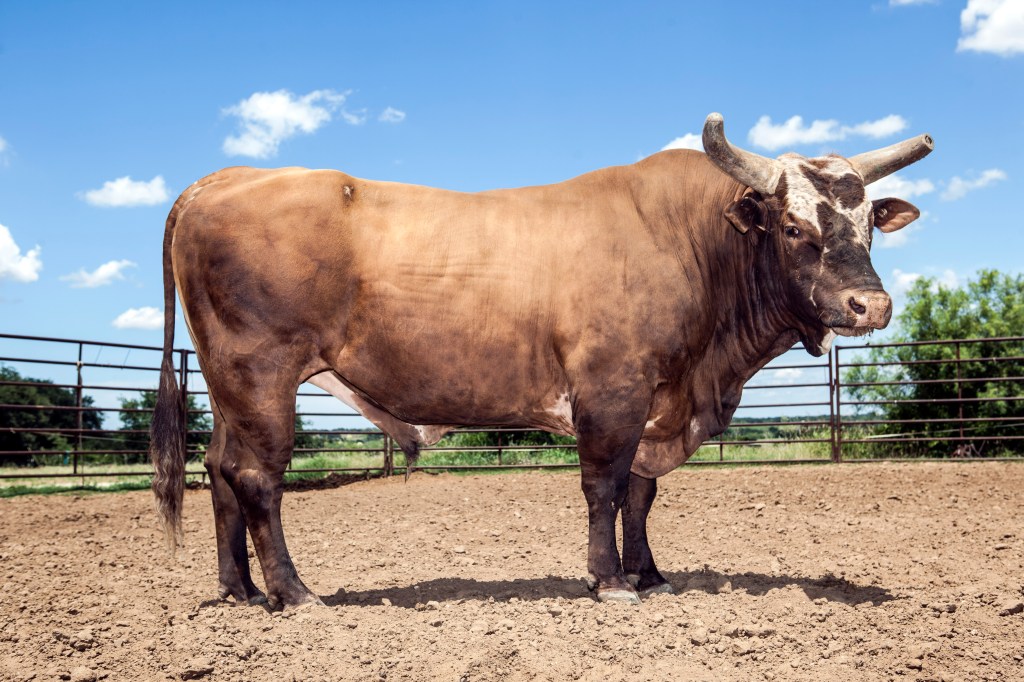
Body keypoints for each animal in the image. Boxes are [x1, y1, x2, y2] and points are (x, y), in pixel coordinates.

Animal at [153, 112, 937, 606]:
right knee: (257, 477)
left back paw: (238, 590)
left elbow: (641, 494)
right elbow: (605, 488)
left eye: (870, 225)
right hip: (262, 375)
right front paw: (611, 582)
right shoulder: (613, 392)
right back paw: (293, 593)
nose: (870, 305)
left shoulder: (654, 403)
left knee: (218, 468)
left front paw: (650, 575)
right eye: (794, 226)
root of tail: (222, 179)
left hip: (229, 386)